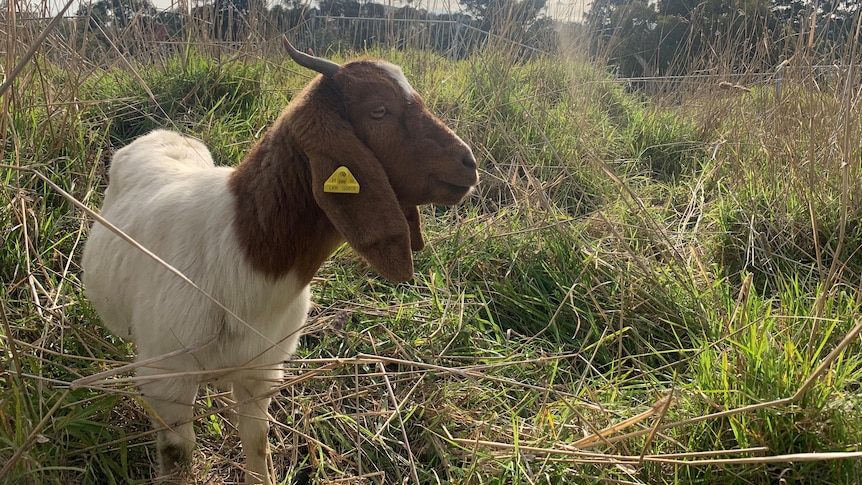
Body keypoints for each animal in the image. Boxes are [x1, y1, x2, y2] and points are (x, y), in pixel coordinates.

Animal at [81, 38, 480, 484]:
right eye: (379, 110)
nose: (469, 164)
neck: (243, 250)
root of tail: (161, 135)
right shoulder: (168, 379)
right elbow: (177, 459)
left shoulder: (262, 369)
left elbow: (257, 443)